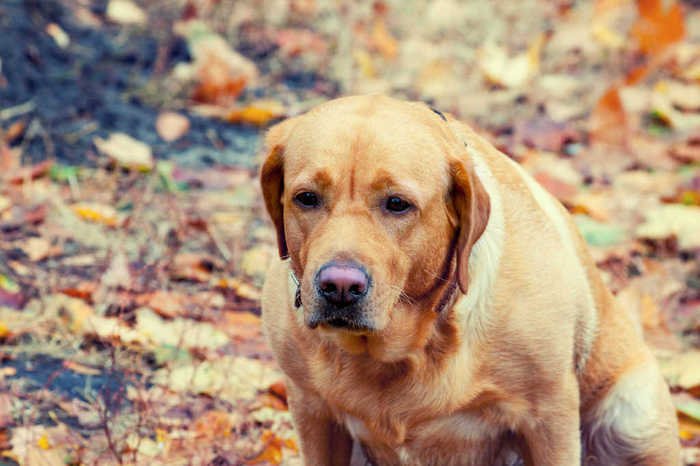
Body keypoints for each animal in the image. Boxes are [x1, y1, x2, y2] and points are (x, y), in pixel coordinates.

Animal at [258, 95, 680, 466]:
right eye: (306, 198)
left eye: (397, 204)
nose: (339, 286)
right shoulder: (312, 409)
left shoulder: (549, 414)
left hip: (633, 416)